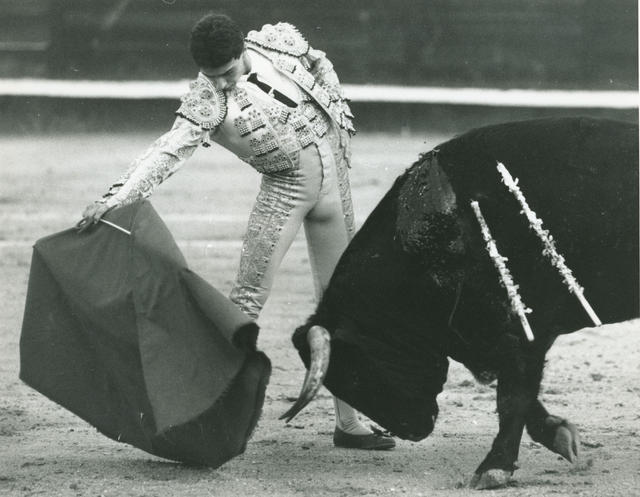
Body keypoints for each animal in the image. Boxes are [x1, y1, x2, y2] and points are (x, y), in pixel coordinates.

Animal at [280, 117, 639, 489]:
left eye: (357, 372)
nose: (413, 430)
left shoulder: (523, 332)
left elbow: (513, 397)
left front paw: (493, 469)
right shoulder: (488, 340)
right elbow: (522, 396)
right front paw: (559, 435)